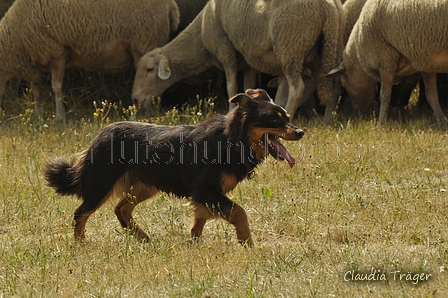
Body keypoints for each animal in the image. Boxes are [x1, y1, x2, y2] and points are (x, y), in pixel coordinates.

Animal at [0, 0, 179, 121]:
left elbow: (56, 88)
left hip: (143, 41)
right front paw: (38, 116)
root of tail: (170, 5)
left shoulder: (57, 52)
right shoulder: (34, 60)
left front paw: (60, 117)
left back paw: (148, 113)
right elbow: (37, 91)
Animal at [44, 89, 304, 247]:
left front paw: (194, 246)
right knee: (81, 213)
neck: (232, 139)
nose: (301, 132)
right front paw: (247, 244)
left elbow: (199, 222)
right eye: (274, 119)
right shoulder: (206, 189)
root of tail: (98, 136)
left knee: (121, 209)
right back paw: (81, 243)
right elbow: (239, 212)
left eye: (287, 117)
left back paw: (143, 238)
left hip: (144, 186)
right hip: (101, 184)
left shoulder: (204, 195)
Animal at [131, 0, 344, 120]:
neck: (201, 37)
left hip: (291, 46)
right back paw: (327, 119)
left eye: (149, 69)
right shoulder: (248, 59)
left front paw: (231, 110)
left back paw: (289, 114)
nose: (135, 99)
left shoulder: (225, 49)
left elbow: (231, 86)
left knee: (297, 88)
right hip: (329, 47)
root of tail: (328, 7)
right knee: (333, 84)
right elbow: (248, 86)